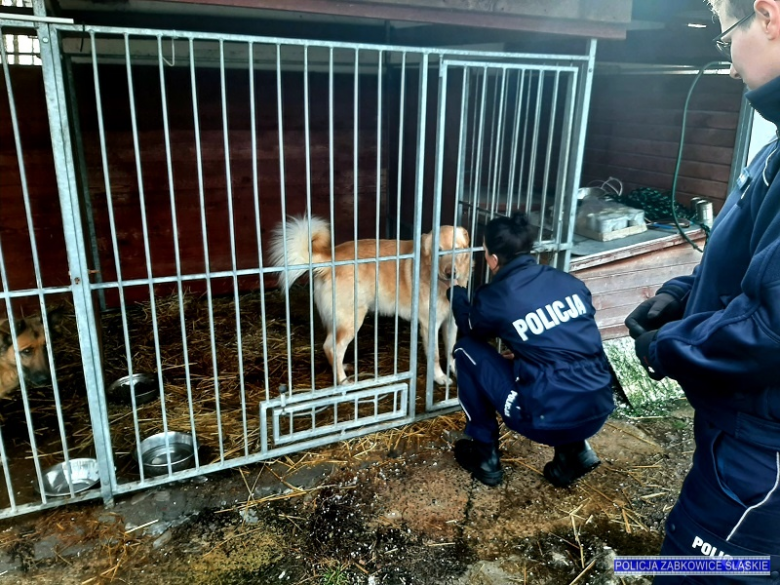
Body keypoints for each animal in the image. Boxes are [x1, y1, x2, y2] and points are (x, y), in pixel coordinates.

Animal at [272, 217, 472, 386]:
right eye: (439, 252)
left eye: (458, 249)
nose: (451, 273)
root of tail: (331, 258)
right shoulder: (429, 325)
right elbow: (435, 356)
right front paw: (439, 377)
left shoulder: (451, 323)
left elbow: (452, 350)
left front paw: (455, 370)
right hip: (352, 319)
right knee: (332, 347)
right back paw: (343, 381)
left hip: (337, 320)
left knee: (331, 346)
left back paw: (342, 368)